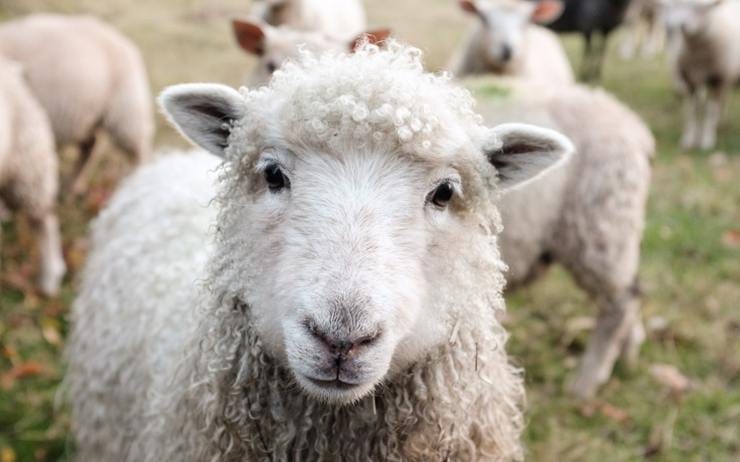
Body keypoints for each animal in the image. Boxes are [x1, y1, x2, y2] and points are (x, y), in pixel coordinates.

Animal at [0, 14, 154, 194]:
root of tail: (124, 41)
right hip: (88, 116)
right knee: (90, 146)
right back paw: (73, 186)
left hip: (126, 111)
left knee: (138, 151)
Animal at [659, 0, 740, 151]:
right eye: (678, 5)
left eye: (701, 9)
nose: (680, 25)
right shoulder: (690, 80)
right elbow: (692, 111)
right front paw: (689, 139)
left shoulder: (718, 79)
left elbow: (711, 110)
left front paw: (707, 141)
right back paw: (721, 122)